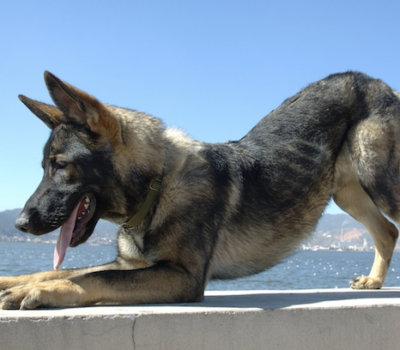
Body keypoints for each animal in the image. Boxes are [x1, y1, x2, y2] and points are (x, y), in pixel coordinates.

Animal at [0, 70, 400, 308]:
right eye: (45, 167)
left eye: (61, 165)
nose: (20, 224)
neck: (158, 185)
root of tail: (371, 79)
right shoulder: (132, 264)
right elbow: (63, 271)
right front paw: (12, 281)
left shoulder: (181, 277)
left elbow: (94, 277)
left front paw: (38, 293)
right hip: (348, 192)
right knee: (387, 231)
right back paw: (374, 281)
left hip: (375, 178)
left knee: (391, 224)